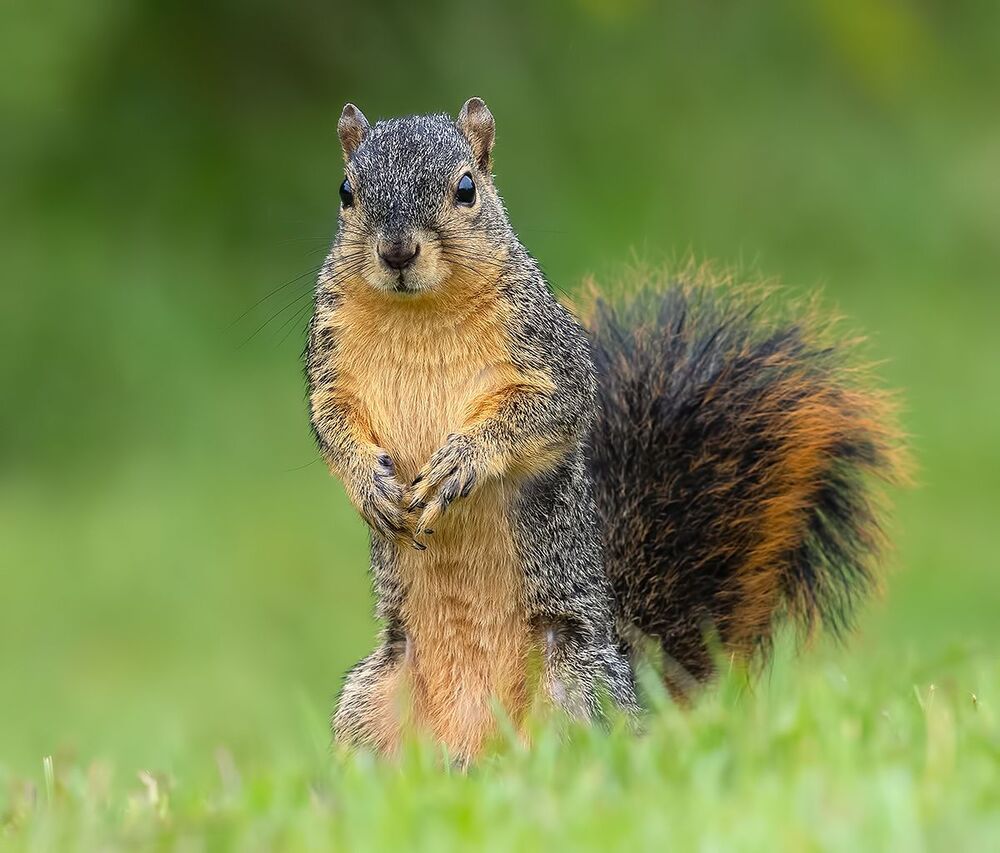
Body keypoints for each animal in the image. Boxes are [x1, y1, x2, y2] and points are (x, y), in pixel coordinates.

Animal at [306, 98, 905, 762]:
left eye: (466, 189)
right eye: (346, 191)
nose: (397, 253)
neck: (418, 314)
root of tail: (478, 750)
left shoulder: (552, 353)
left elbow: (549, 411)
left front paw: (462, 461)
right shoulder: (328, 364)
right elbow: (329, 423)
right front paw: (368, 483)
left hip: (578, 685)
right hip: (370, 698)